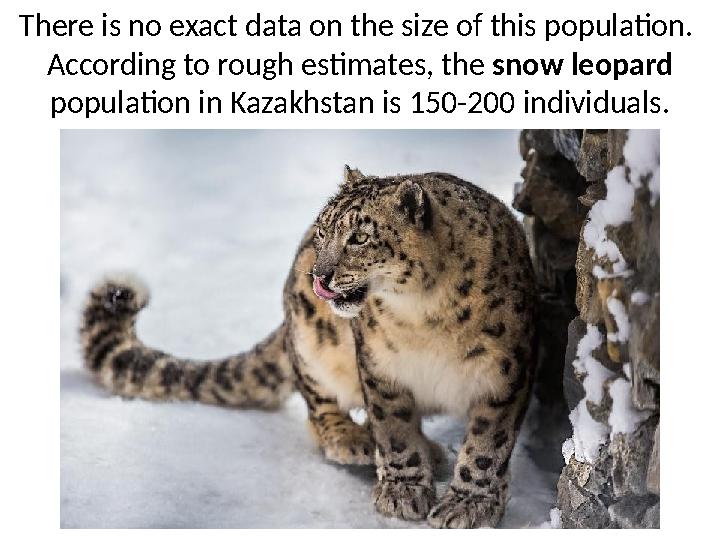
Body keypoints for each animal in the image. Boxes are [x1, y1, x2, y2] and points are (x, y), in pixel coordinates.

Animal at [80, 166, 536, 528]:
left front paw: (469, 503)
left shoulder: (506, 374)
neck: (423, 316)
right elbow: (394, 430)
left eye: (360, 236)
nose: (320, 276)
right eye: (323, 231)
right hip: (311, 340)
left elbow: (487, 445)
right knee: (318, 405)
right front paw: (404, 491)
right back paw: (354, 439)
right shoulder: (379, 368)